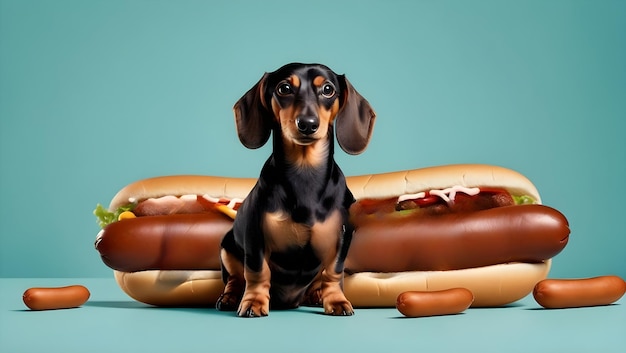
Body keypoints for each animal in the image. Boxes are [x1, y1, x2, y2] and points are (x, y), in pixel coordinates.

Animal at [214, 63, 376, 316]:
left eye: (328, 89)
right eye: (284, 88)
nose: (308, 124)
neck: (305, 172)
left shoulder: (342, 236)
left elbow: (333, 272)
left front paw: (336, 300)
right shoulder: (254, 236)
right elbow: (257, 272)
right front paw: (254, 302)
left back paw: (316, 295)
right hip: (227, 246)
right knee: (235, 278)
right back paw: (230, 297)